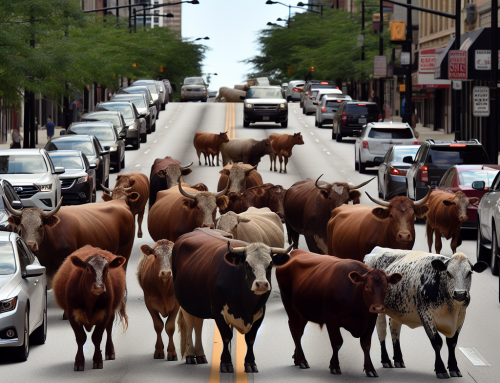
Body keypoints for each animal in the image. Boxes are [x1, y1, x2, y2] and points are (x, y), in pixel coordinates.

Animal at [173, 230, 292, 374]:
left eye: (269, 264)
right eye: (247, 264)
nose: (261, 284)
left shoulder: (259, 313)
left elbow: (250, 339)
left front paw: (250, 363)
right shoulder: (218, 311)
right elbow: (226, 336)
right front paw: (225, 363)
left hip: (196, 304)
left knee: (198, 325)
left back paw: (200, 355)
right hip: (185, 303)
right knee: (190, 324)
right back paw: (190, 355)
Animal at [278, 249, 402, 378]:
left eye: (386, 288)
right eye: (367, 287)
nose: (377, 307)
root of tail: (295, 252)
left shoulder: (371, 318)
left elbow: (366, 344)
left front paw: (370, 369)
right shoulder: (331, 316)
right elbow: (337, 342)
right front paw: (334, 366)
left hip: (302, 311)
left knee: (299, 331)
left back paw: (297, 359)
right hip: (290, 306)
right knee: (296, 331)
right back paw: (302, 361)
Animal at [364, 248, 488, 380]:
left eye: (469, 273)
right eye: (448, 273)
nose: (460, 294)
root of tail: (377, 249)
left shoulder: (461, 316)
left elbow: (452, 342)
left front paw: (454, 368)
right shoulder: (426, 314)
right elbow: (437, 342)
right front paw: (441, 369)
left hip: (398, 310)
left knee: (394, 328)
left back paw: (398, 359)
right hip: (377, 310)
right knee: (381, 333)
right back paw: (386, 360)